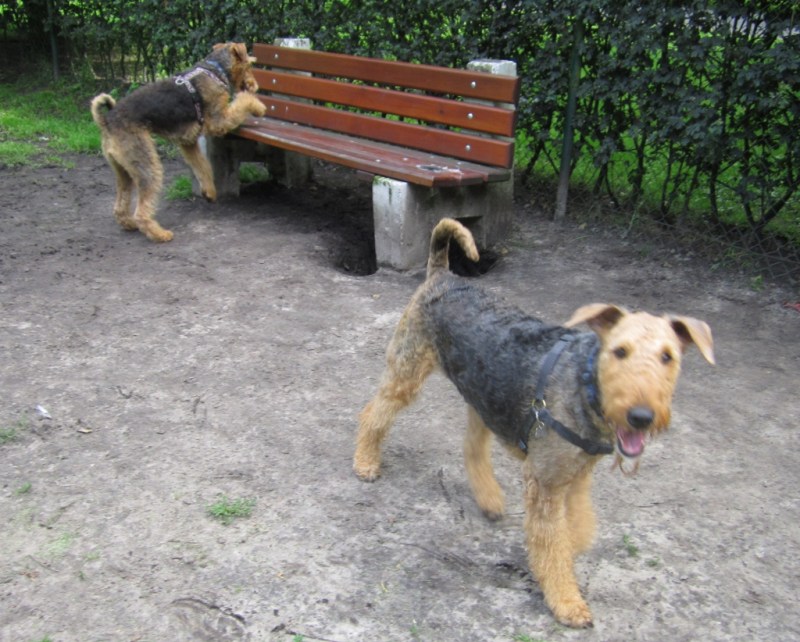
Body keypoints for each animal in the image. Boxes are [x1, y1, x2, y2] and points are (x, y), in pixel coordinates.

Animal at [90, 42, 266, 242]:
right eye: (250, 65)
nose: (255, 86)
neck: (214, 70)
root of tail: (106, 121)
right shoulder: (218, 120)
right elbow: (242, 102)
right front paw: (259, 107)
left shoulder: (188, 141)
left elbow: (203, 167)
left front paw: (210, 192)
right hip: (146, 164)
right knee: (141, 211)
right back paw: (160, 234)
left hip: (123, 170)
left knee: (120, 205)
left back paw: (129, 224)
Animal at [353, 218, 715, 627]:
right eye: (620, 351)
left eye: (668, 357)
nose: (641, 416)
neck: (585, 381)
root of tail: (442, 275)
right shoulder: (545, 481)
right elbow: (551, 541)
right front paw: (567, 602)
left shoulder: (575, 476)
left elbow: (576, 528)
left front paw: (570, 550)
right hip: (407, 371)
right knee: (374, 413)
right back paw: (365, 463)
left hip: (484, 393)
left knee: (472, 446)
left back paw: (490, 500)